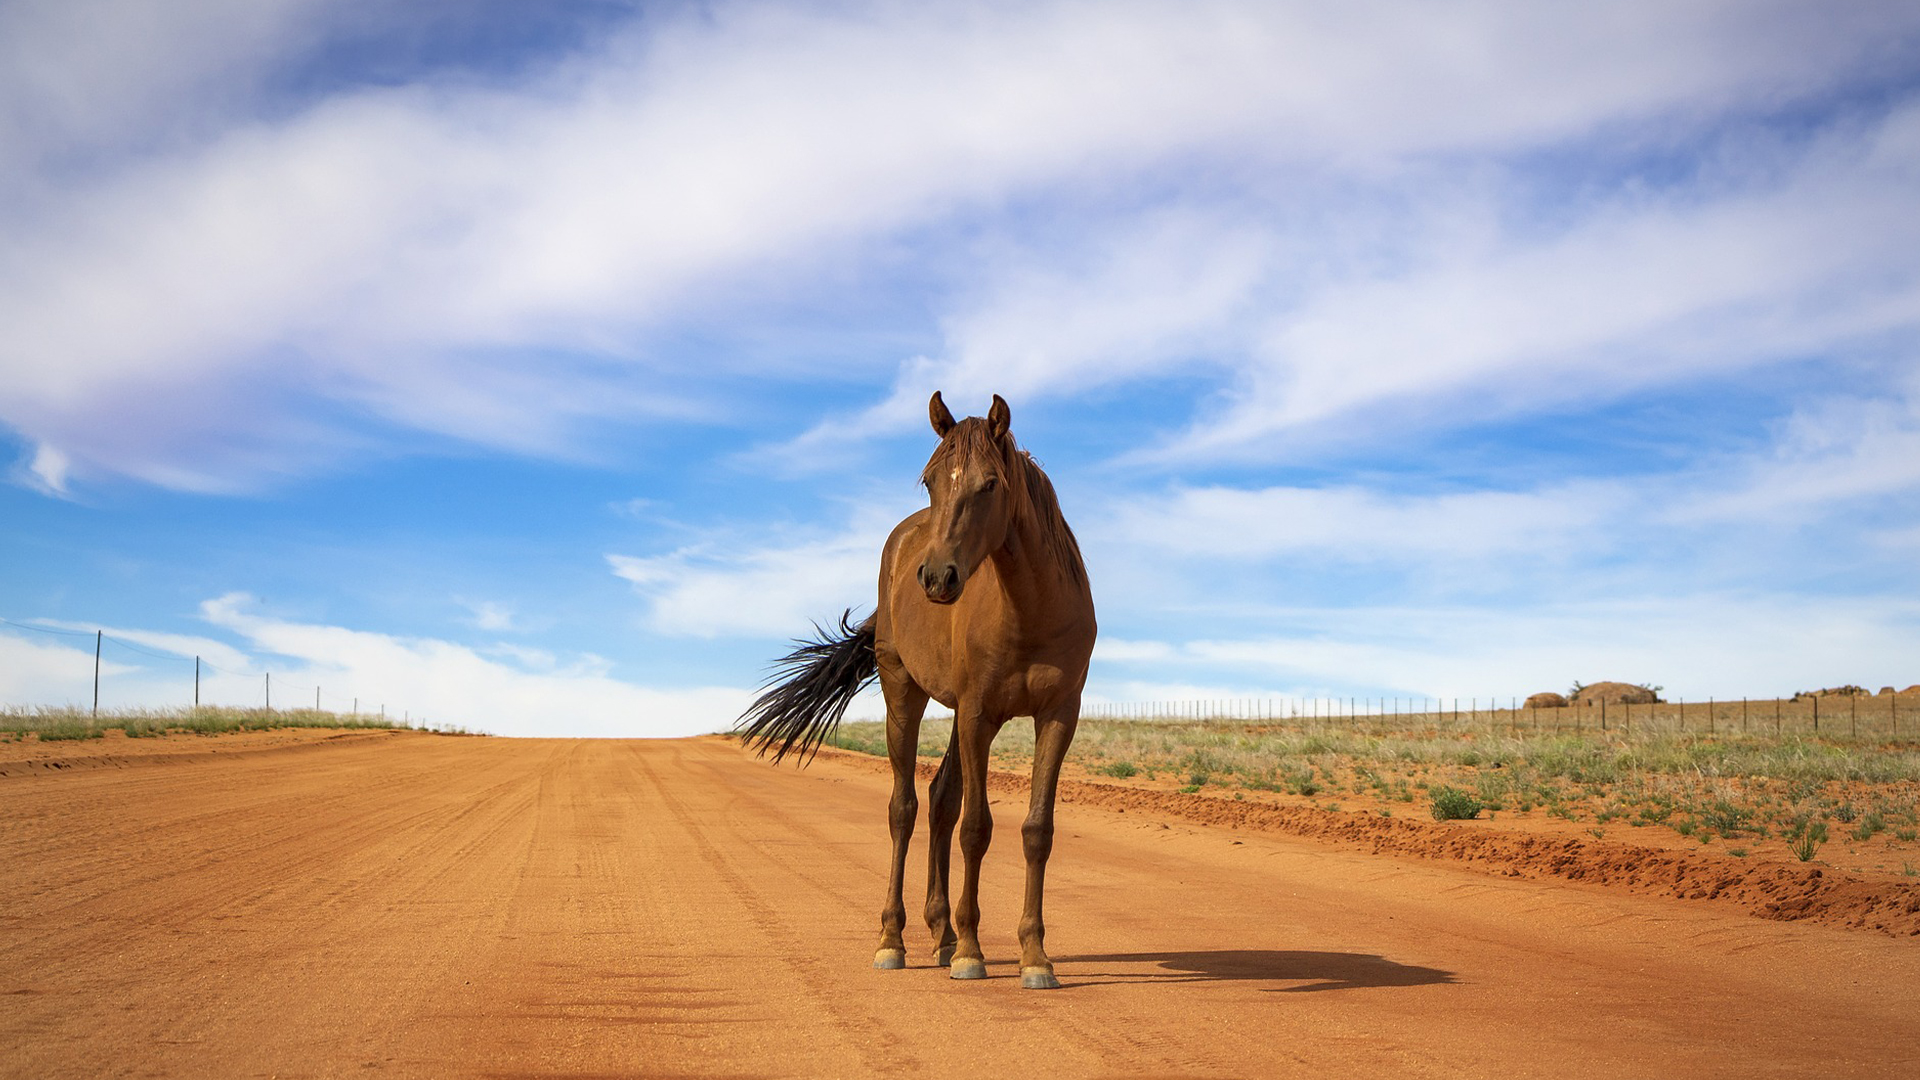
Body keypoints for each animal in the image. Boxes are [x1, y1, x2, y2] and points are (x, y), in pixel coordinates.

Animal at [736, 391, 1096, 990]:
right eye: (929, 481)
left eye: (990, 484)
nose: (936, 578)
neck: (1032, 609)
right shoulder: (977, 714)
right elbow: (976, 828)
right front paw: (973, 952)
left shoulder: (1056, 717)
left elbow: (1035, 831)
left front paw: (1034, 956)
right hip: (904, 693)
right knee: (904, 808)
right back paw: (895, 940)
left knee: (940, 799)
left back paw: (942, 933)